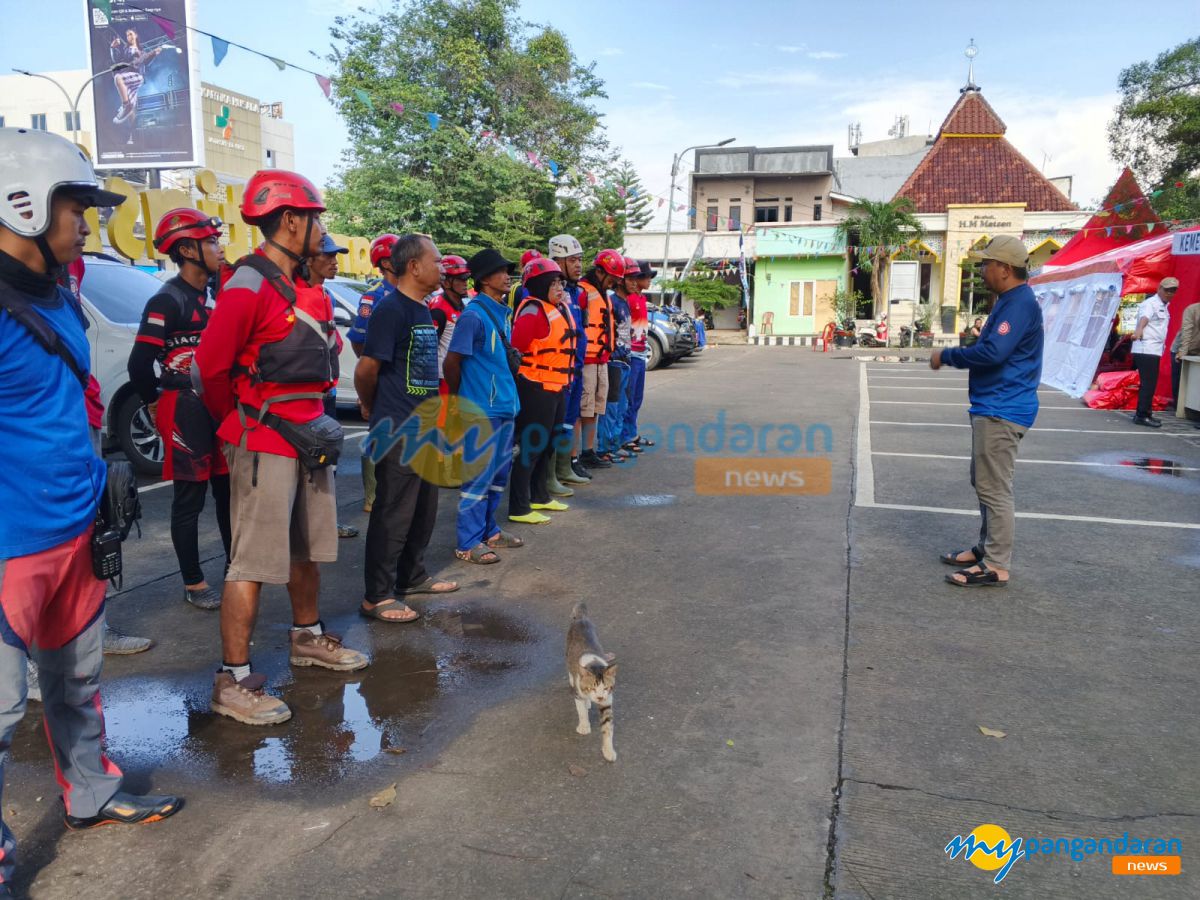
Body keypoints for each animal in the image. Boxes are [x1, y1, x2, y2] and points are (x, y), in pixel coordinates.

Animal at [564, 602, 619, 763]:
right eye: (592, 688)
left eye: (606, 687)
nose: (599, 697)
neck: (593, 663)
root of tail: (580, 618)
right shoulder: (579, 693)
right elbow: (581, 710)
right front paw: (584, 726)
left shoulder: (607, 701)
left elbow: (607, 727)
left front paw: (608, 751)